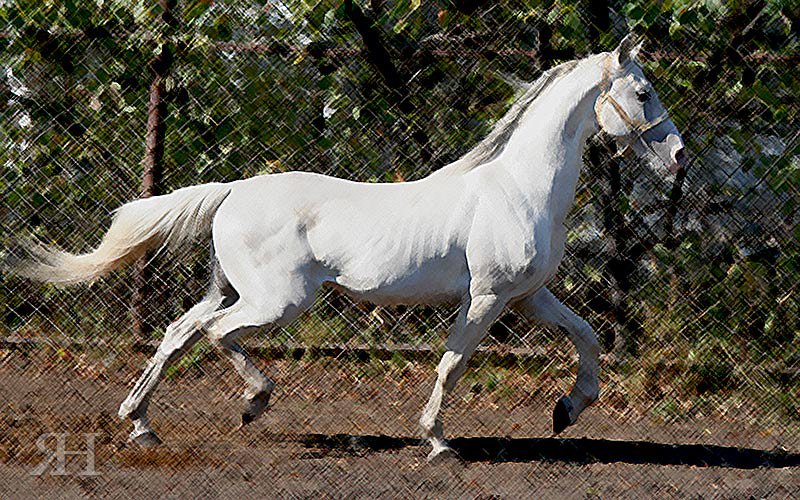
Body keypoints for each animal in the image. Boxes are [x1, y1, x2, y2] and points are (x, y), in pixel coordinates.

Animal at [6, 36, 684, 460]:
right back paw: (252, 404)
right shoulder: (488, 298)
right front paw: (438, 441)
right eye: (644, 92)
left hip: (232, 289)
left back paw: (141, 425)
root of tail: (232, 191)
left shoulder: (527, 297)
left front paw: (568, 411)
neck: (518, 189)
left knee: (180, 331)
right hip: (277, 300)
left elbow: (587, 338)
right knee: (219, 334)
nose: (677, 156)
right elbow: (452, 364)